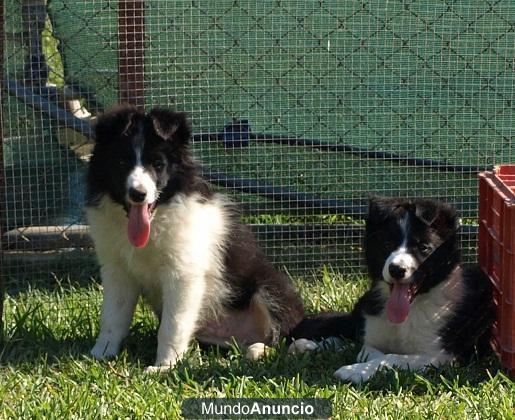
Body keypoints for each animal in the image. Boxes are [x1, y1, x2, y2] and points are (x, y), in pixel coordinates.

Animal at [86, 104, 304, 370]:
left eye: (158, 164)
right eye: (121, 161)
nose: (138, 194)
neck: (158, 216)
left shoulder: (182, 273)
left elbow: (172, 324)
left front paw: (163, 366)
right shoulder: (117, 269)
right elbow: (112, 317)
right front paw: (100, 354)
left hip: (270, 288)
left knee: (280, 336)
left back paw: (274, 349)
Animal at [290, 199, 496, 382]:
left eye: (424, 248)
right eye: (387, 245)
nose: (397, 270)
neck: (412, 309)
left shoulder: (438, 356)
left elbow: (390, 357)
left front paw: (354, 371)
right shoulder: (372, 332)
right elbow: (366, 349)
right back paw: (307, 345)